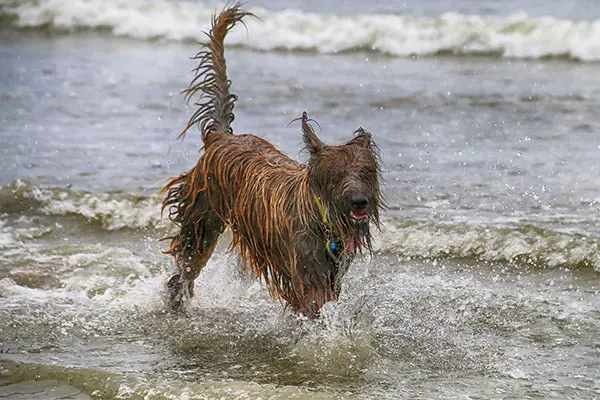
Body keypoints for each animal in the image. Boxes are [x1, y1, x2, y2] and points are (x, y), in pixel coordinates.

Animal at [161, 3, 384, 318]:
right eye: (336, 175)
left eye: (365, 171)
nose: (360, 202)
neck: (321, 218)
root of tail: (221, 137)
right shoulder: (304, 272)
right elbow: (312, 301)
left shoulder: (334, 270)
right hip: (203, 215)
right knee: (187, 264)